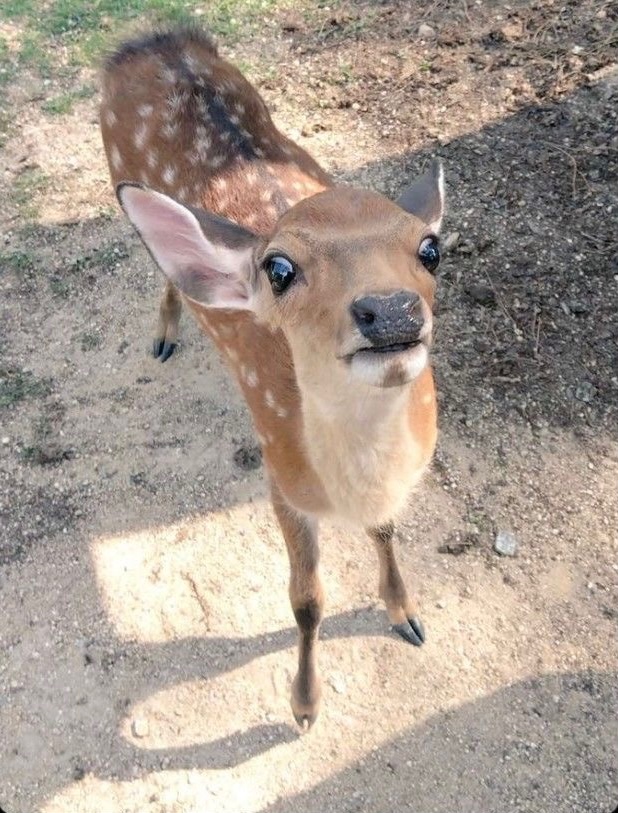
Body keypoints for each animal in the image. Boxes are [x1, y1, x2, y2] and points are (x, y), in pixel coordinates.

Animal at [100, 27, 444, 728]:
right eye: (279, 269)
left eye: (431, 249)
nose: (391, 309)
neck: (347, 485)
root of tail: (147, 39)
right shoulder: (279, 478)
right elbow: (306, 600)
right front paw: (304, 704)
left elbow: (386, 528)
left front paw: (406, 613)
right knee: (163, 264)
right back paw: (165, 334)